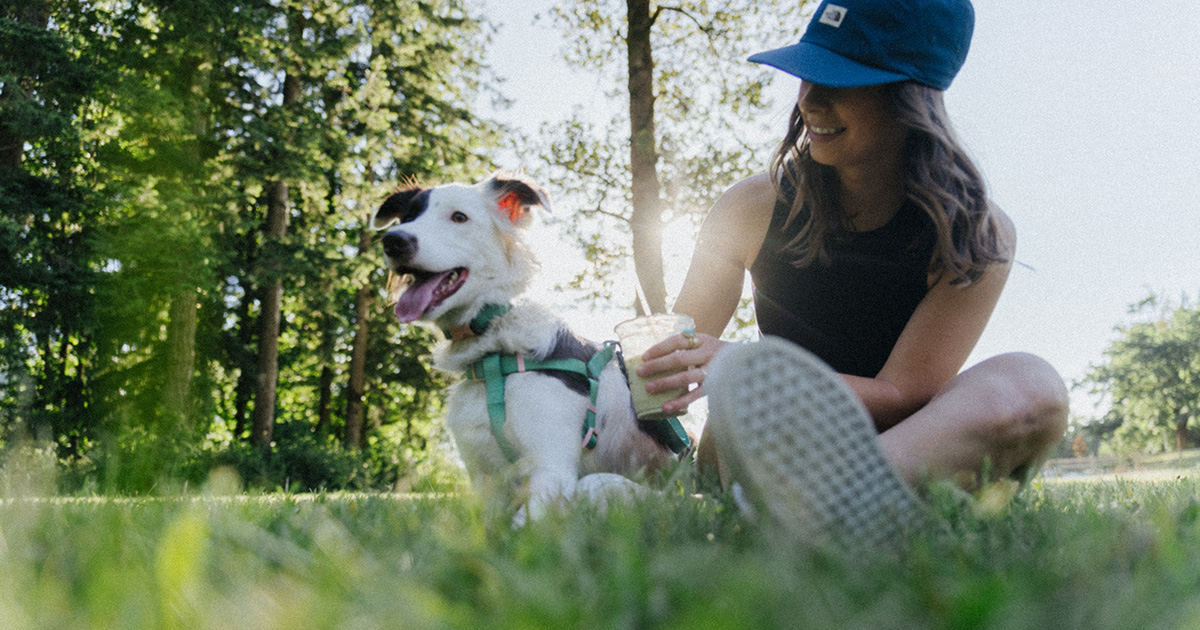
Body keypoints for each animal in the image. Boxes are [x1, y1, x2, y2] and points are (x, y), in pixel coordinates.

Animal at [364, 170, 686, 516]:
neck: (494, 352)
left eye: (459, 217)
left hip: (602, 485)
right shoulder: (485, 479)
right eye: (408, 217)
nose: (393, 240)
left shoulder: (551, 469)